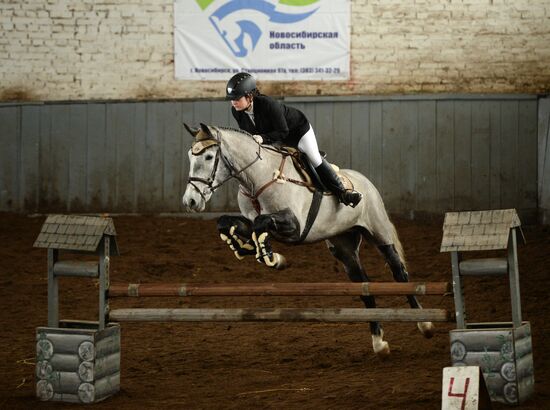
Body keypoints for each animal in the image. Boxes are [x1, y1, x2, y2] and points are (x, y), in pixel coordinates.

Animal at [183, 122, 434, 356]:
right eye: (190, 157)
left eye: (208, 157)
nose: (191, 201)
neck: (257, 178)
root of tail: (365, 181)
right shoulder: (255, 220)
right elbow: (228, 223)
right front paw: (247, 247)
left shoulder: (295, 226)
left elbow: (261, 223)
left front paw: (271, 256)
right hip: (344, 248)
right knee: (364, 285)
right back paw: (379, 343)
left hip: (378, 232)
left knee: (399, 273)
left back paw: (425, 324)